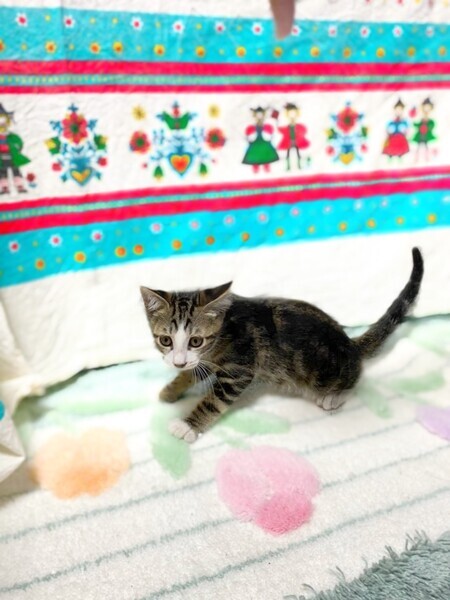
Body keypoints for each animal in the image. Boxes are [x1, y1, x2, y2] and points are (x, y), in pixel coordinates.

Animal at [141, 247, 424, 442]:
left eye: (196, 340)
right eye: (165, 340)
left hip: (325, 373)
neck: (222, 333)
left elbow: (214, 400)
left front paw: (187, 425)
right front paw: (172, 389)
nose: (177, 360)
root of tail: (348, 343)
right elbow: (191, 372)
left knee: (355, 378)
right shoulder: (205, 360)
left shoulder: (239, 370)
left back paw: (334, 396)